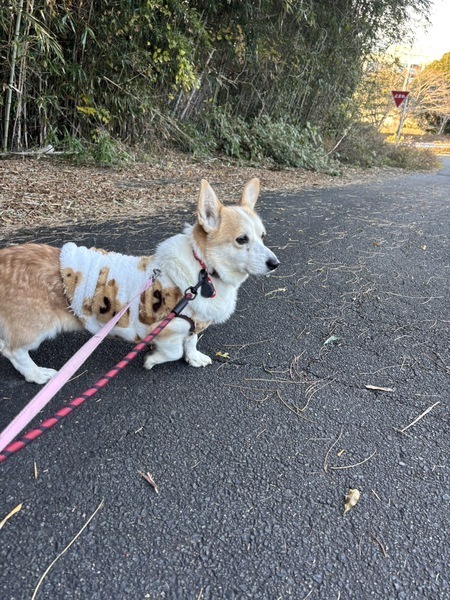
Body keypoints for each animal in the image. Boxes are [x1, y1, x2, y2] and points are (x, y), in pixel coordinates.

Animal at [0, 178, 279, 384]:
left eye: (263, 236)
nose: (275, 263)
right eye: (241, 239)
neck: (204, 273)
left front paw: (194, 357)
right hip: (36, 328)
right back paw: (37, 374)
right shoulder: (164, 327)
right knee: (13, 351)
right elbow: (173, 351)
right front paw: (153, 359)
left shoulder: (193, 324)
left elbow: (190, 342)